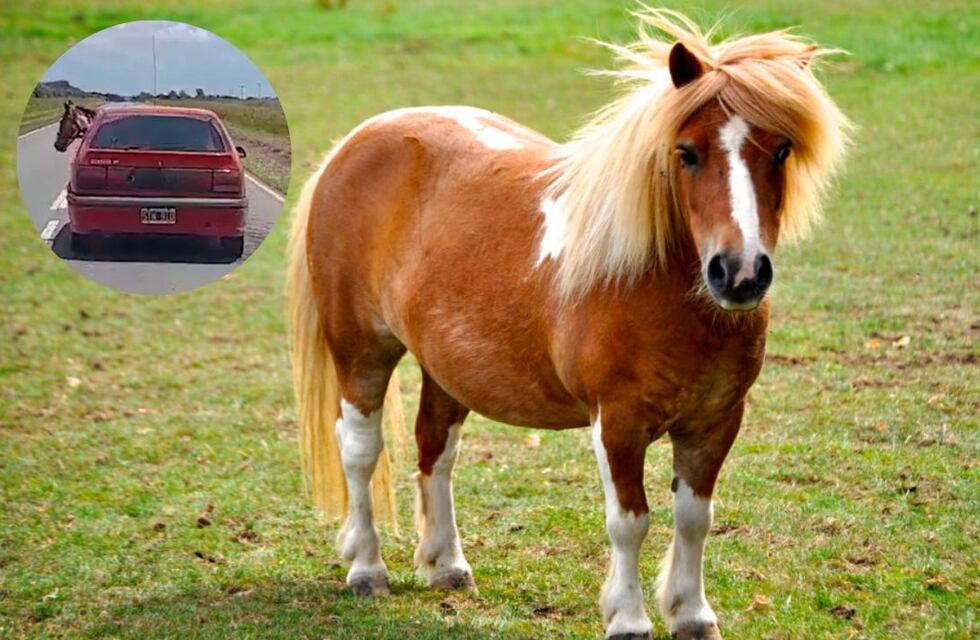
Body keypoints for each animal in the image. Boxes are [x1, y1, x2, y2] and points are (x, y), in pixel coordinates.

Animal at [288, 9, 849, 639]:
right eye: (687, 152)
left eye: (781, 150)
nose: (740, 273)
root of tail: (353, 143)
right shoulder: (618, 422)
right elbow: (630, 520)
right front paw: (628, 617)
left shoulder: (715, 421)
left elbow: (694, 518)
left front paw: (691, 613)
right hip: (360, 351)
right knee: (360, 450)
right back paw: (366, 568)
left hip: (445, 367)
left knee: (436, 447)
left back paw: (446, 564)